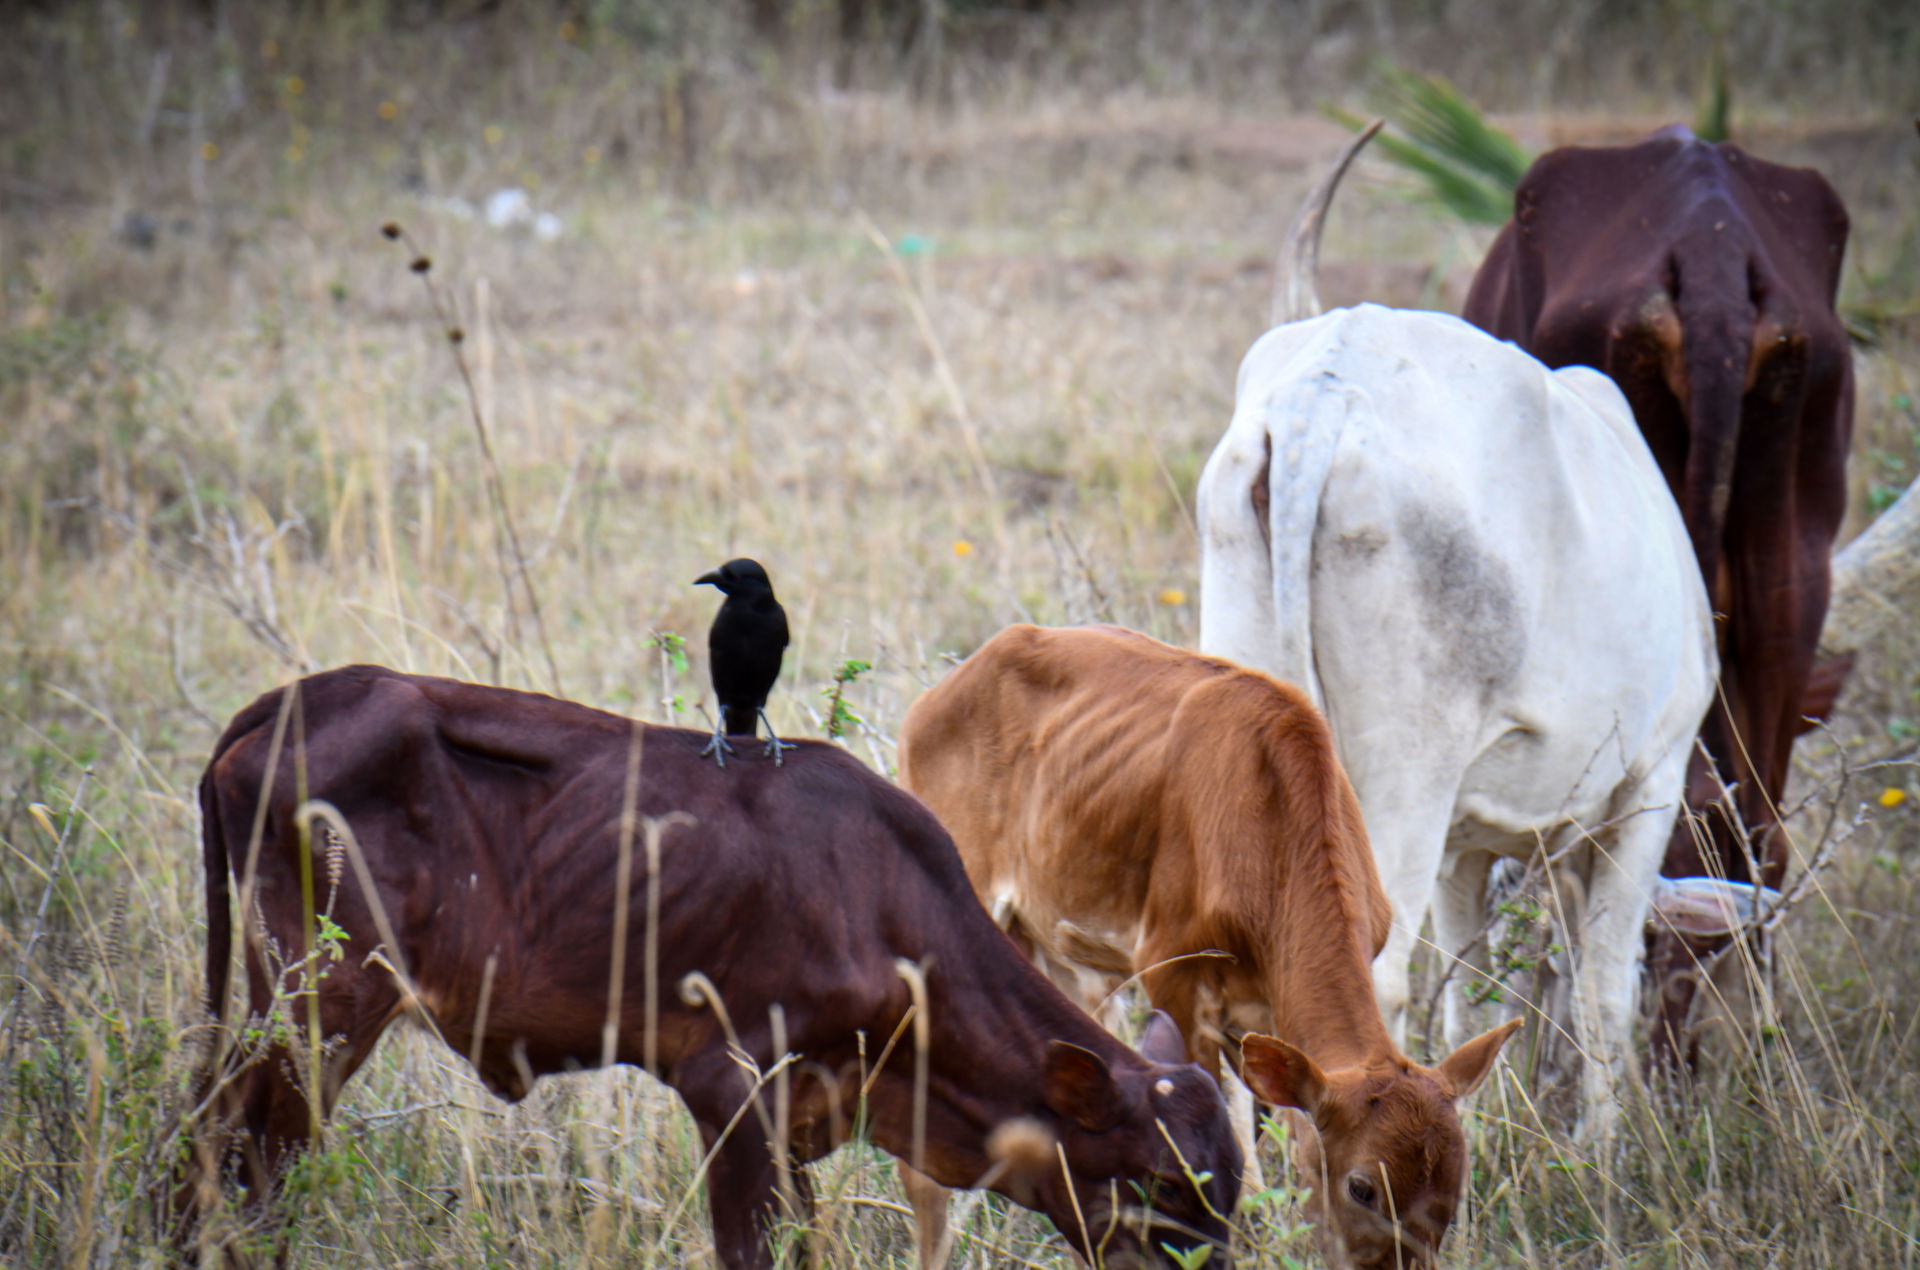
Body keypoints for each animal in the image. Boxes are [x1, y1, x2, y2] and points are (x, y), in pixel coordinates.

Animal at [172, 665, 1242, 1270]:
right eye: (1160, 1184)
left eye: (1227, 1194)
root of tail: (303, 695)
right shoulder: (730, 1086)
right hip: (321, 1007)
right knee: (243, 1153)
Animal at [1196, 300, 1717, 1136]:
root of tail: (1322, 391)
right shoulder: (1651, 784)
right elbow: (1604, 993)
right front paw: (1604, 1151)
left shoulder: (1464, 847)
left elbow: (1475, 998)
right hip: (1408, 773)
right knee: (1376, 979)